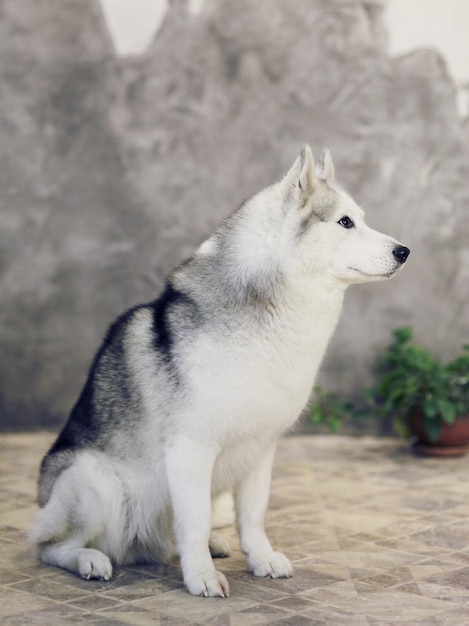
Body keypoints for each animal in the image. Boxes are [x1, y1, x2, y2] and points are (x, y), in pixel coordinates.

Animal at [30, 145, 410, 596]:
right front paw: (202, 579)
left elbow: (253, 516)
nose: (404, 251)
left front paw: (260, 560)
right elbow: (193, 521)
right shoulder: (191, 448)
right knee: (48, 546)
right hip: (96, 483)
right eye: (345, 222)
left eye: (361, 219)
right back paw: (89, 559)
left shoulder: (262, 448)